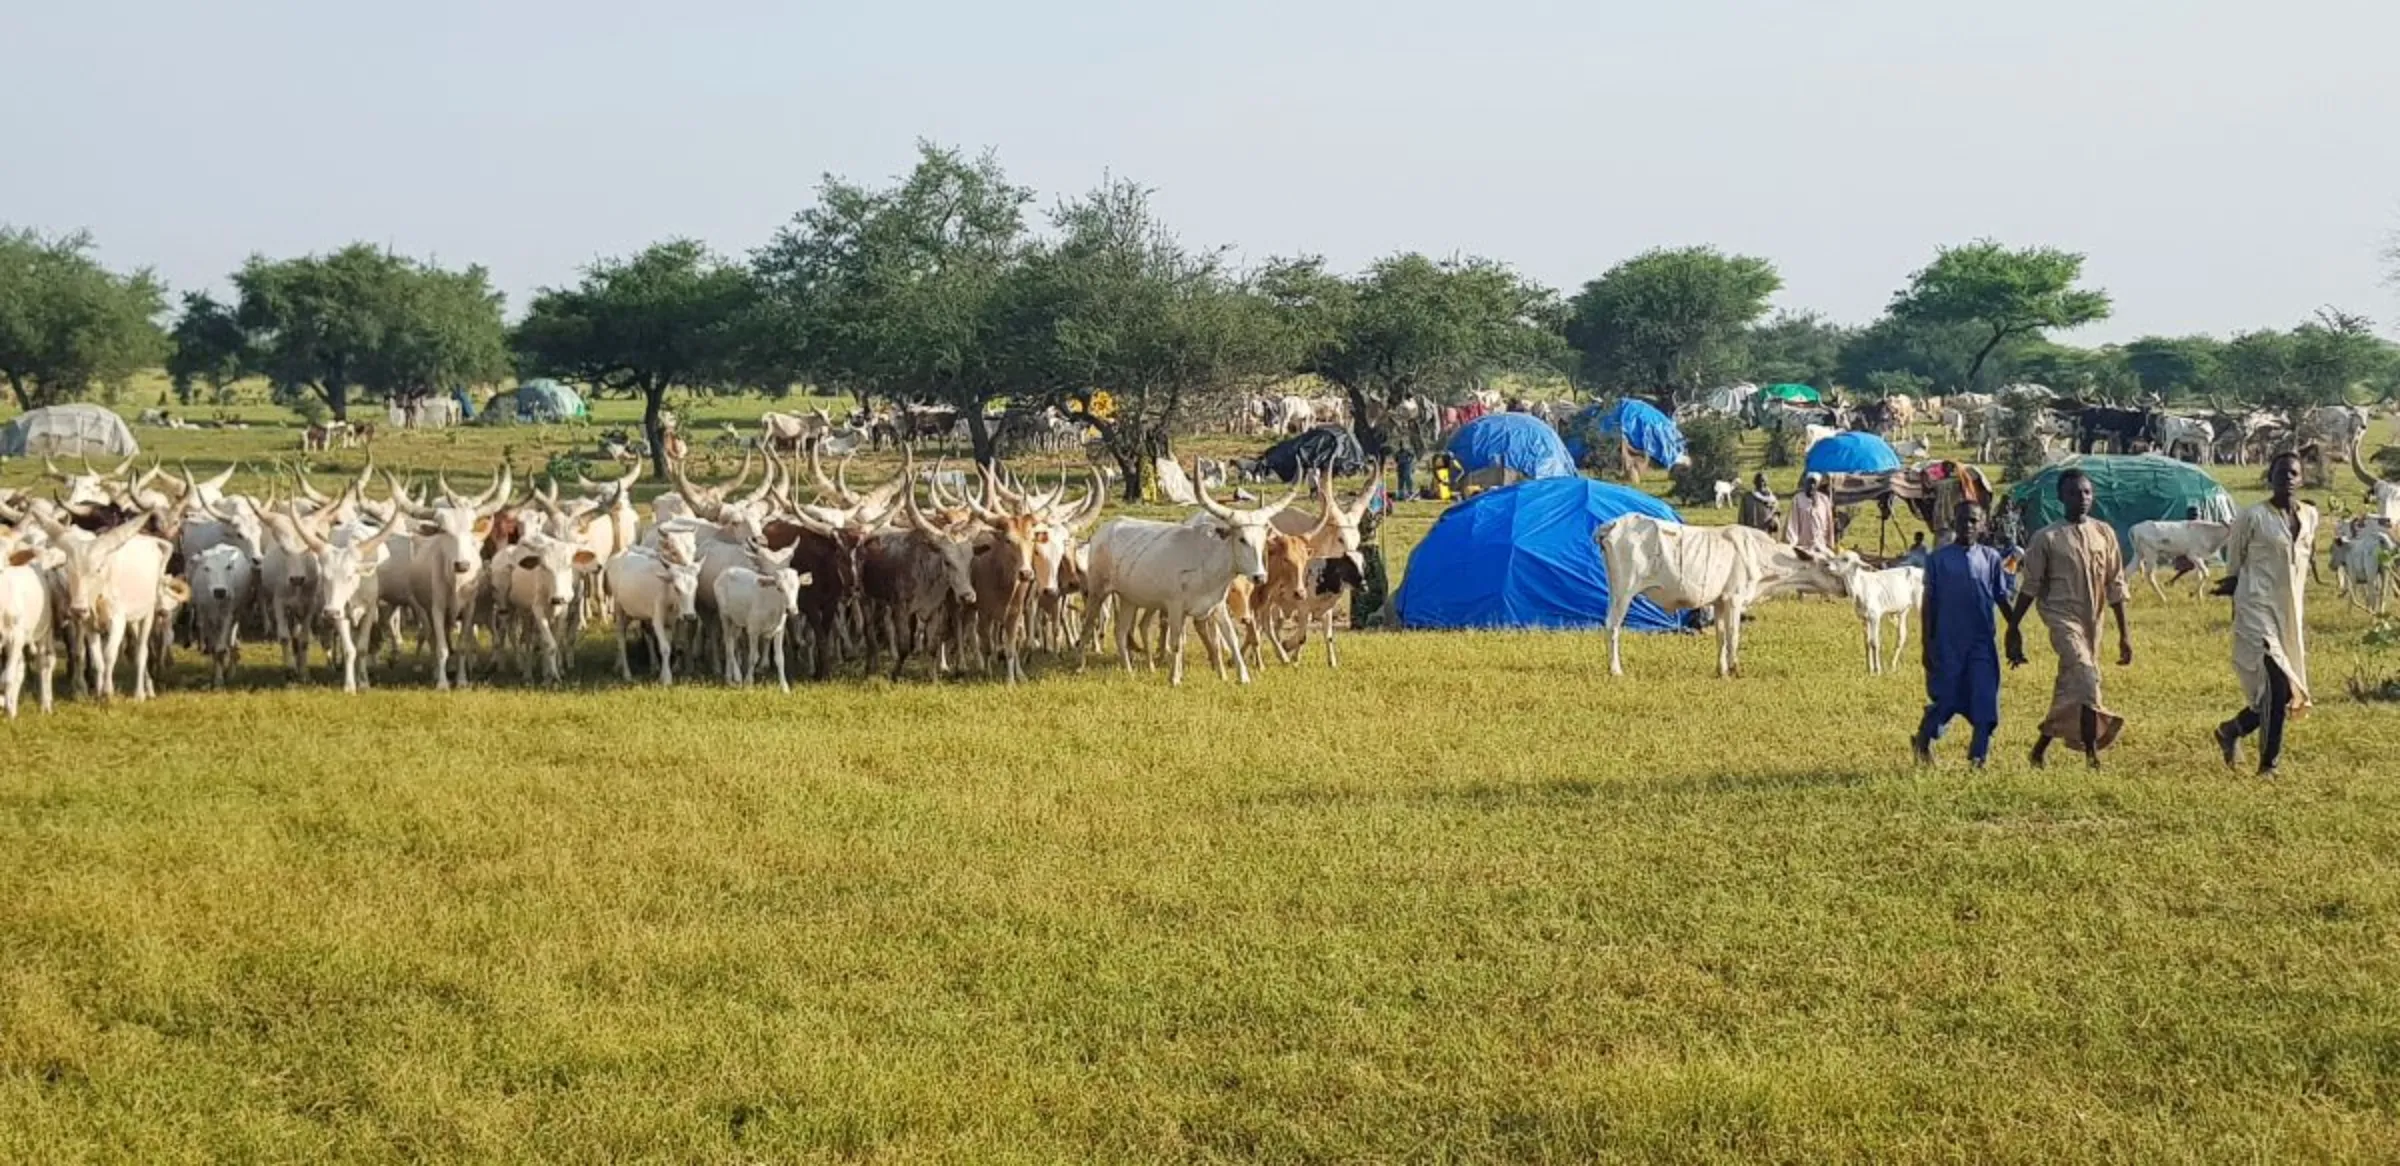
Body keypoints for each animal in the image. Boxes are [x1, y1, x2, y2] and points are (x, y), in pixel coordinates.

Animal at [1603, 515, 1843, 676]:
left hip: (1614, 592)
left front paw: (1722, 670)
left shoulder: (1719, 602)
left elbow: (1720, 636)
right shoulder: (1734, 599)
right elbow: (1733, 635)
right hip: (1624, 592)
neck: (1759, 554)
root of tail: (1612, 525)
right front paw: (1735, 668)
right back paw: (1616, 670)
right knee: (1613, 626)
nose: (1844, 587)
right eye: (1827, 565)